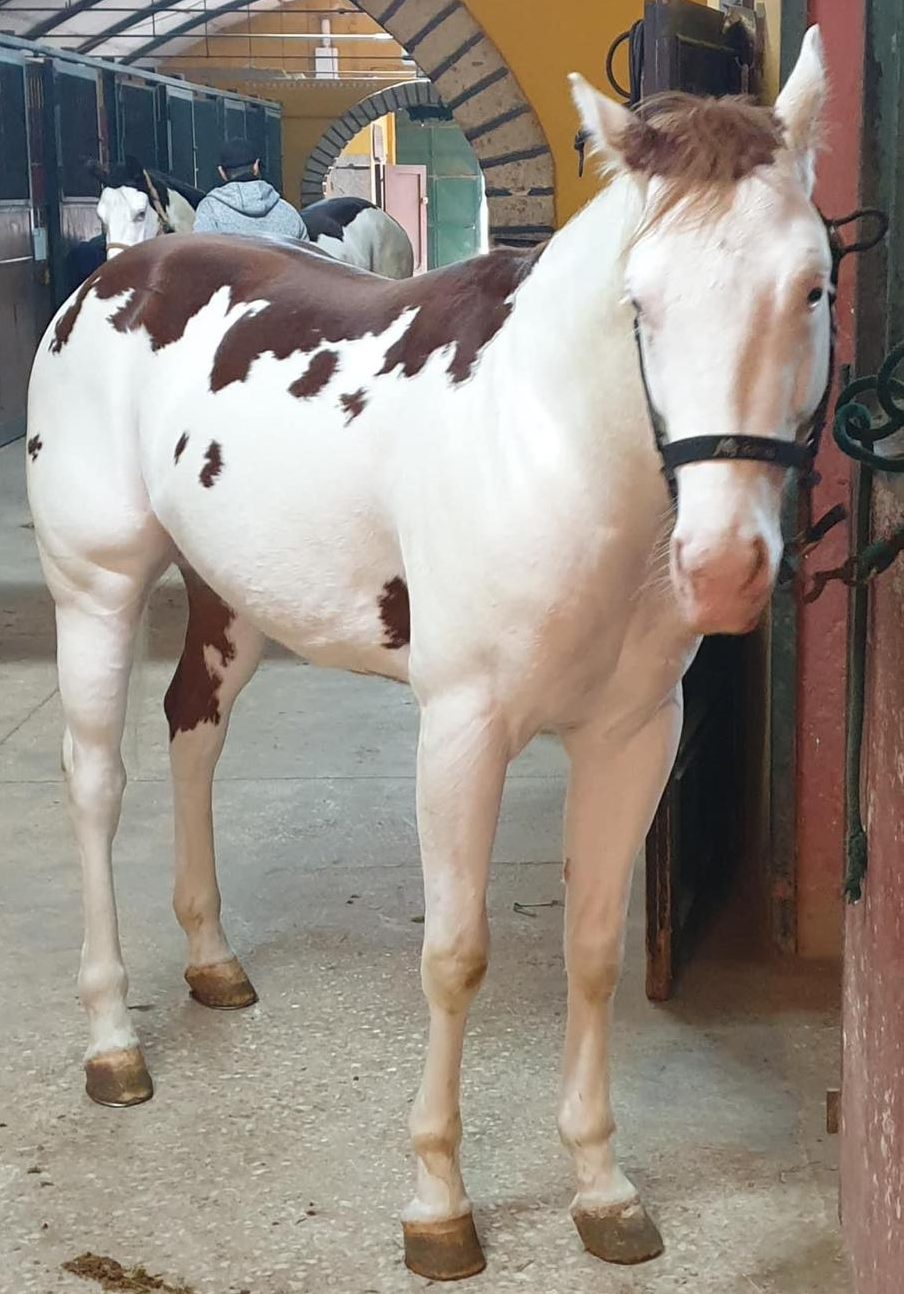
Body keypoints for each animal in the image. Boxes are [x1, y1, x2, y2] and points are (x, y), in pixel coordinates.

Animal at [26, 29, 829, 1282]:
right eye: (637, 300)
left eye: (812, 286)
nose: (725, 567)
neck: (548, 444)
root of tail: (114, 278)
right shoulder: (462, 731)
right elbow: (454, 959)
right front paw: (438, 1206)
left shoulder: (635, 735)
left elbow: (594, 951)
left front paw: (601, 1188)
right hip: (98, 591)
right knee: (98, 782)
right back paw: (112, 1041)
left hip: (231, 599)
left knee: (193, 728)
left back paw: (212, 960)